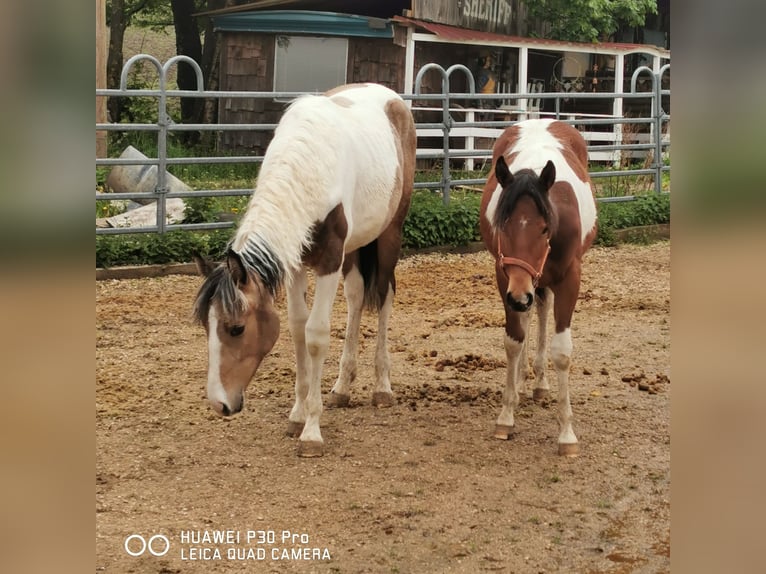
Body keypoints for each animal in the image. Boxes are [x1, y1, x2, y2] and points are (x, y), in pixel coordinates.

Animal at [195, 82, 416, 460]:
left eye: (236, 328)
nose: (219, 404)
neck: (309, 166)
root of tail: (392, 97)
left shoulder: (329, 261)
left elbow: (315, 334)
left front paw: (311, 431)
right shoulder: (296, 260)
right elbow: (298, 328)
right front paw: (297, 416)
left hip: (389, 234)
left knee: (384, 296)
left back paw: (382, 388)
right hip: (355, 247)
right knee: (357, 297)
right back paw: (342, 387)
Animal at [480, 119, 600, 456]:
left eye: (545, 228)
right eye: (503, 225)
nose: (519, 296)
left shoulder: (570, 278)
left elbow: (562, 352)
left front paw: (567, 434)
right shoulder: (505, 278)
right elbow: (514, 340)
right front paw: (506, 416)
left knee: (542, 311)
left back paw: (540, 383)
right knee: (532, 314)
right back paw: (523, 382)